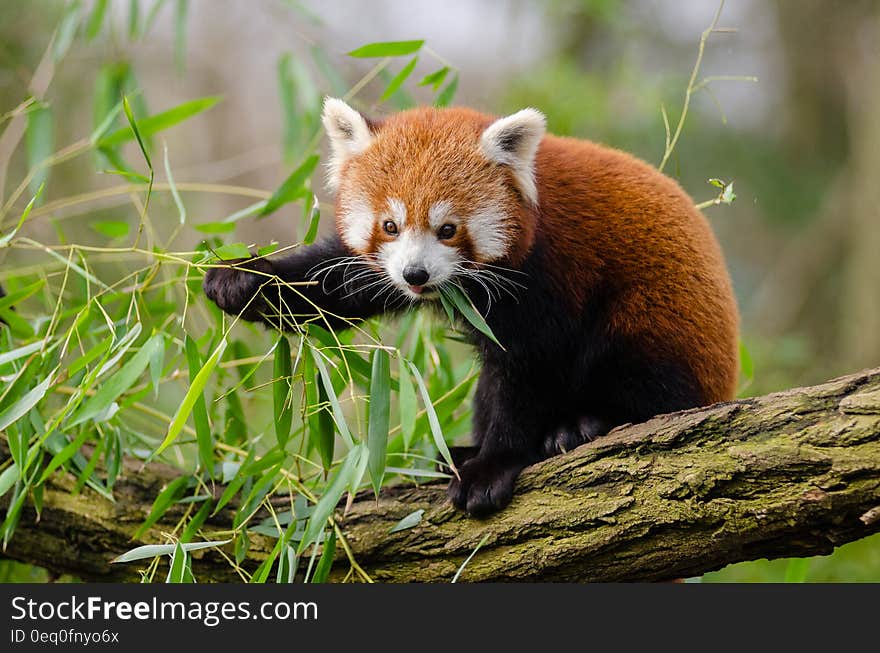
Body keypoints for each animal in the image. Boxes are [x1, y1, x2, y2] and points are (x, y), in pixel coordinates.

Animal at [203, 98, 740, 516]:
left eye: (448, 229)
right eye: (390, 226)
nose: (416, 275)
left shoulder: (548, 277)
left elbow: (527, 371)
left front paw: (493, 465)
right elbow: (333, 284)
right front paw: (241, 280)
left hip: (659, 321)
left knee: (642, 373)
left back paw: (584, 425)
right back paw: (459, 450)